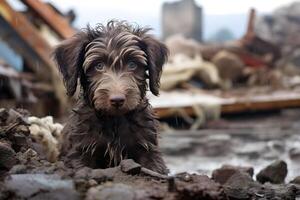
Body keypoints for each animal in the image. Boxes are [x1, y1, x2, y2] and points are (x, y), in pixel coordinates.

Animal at [52, 20, 168, 173]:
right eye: (99, 65)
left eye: (132, 64)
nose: (117, 100)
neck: (114, 121)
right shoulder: (79, 152)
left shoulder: (148, 149)